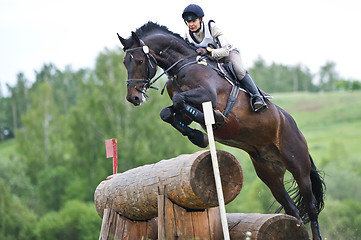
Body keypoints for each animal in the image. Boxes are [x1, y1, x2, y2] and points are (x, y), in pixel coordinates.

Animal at [116, 21, 324, 239]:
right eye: (125, 62)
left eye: (140, 61)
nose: (133, 98)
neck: (183, 65)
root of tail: (292, 125)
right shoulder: (184, 112)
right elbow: (167, 112)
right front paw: (198, 136)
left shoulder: (208, 95)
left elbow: (180, 100)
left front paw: (214, 120)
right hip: (269, 172)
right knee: (291, 208)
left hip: (298, 165)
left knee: (311, 205)